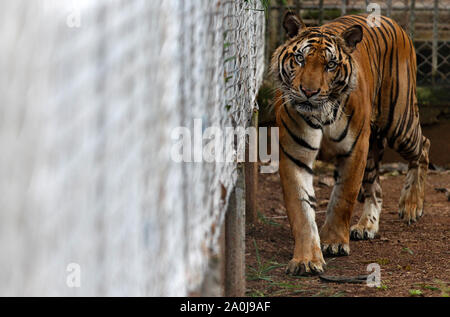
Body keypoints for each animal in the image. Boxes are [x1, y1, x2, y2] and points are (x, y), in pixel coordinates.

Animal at [270, 12, 432, 274]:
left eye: (330, 65)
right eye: (300, 59)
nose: (308, 92)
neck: (321, 114)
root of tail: (390, 21)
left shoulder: (355, 151)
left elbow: (343, 198)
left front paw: (334, 242)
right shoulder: (295, 155)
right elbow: (301, 210)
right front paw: (306, 259)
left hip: (399, 122)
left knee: (423, 146)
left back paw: (411, 206)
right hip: (375, 145)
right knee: (375, 188)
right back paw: (367, 226)